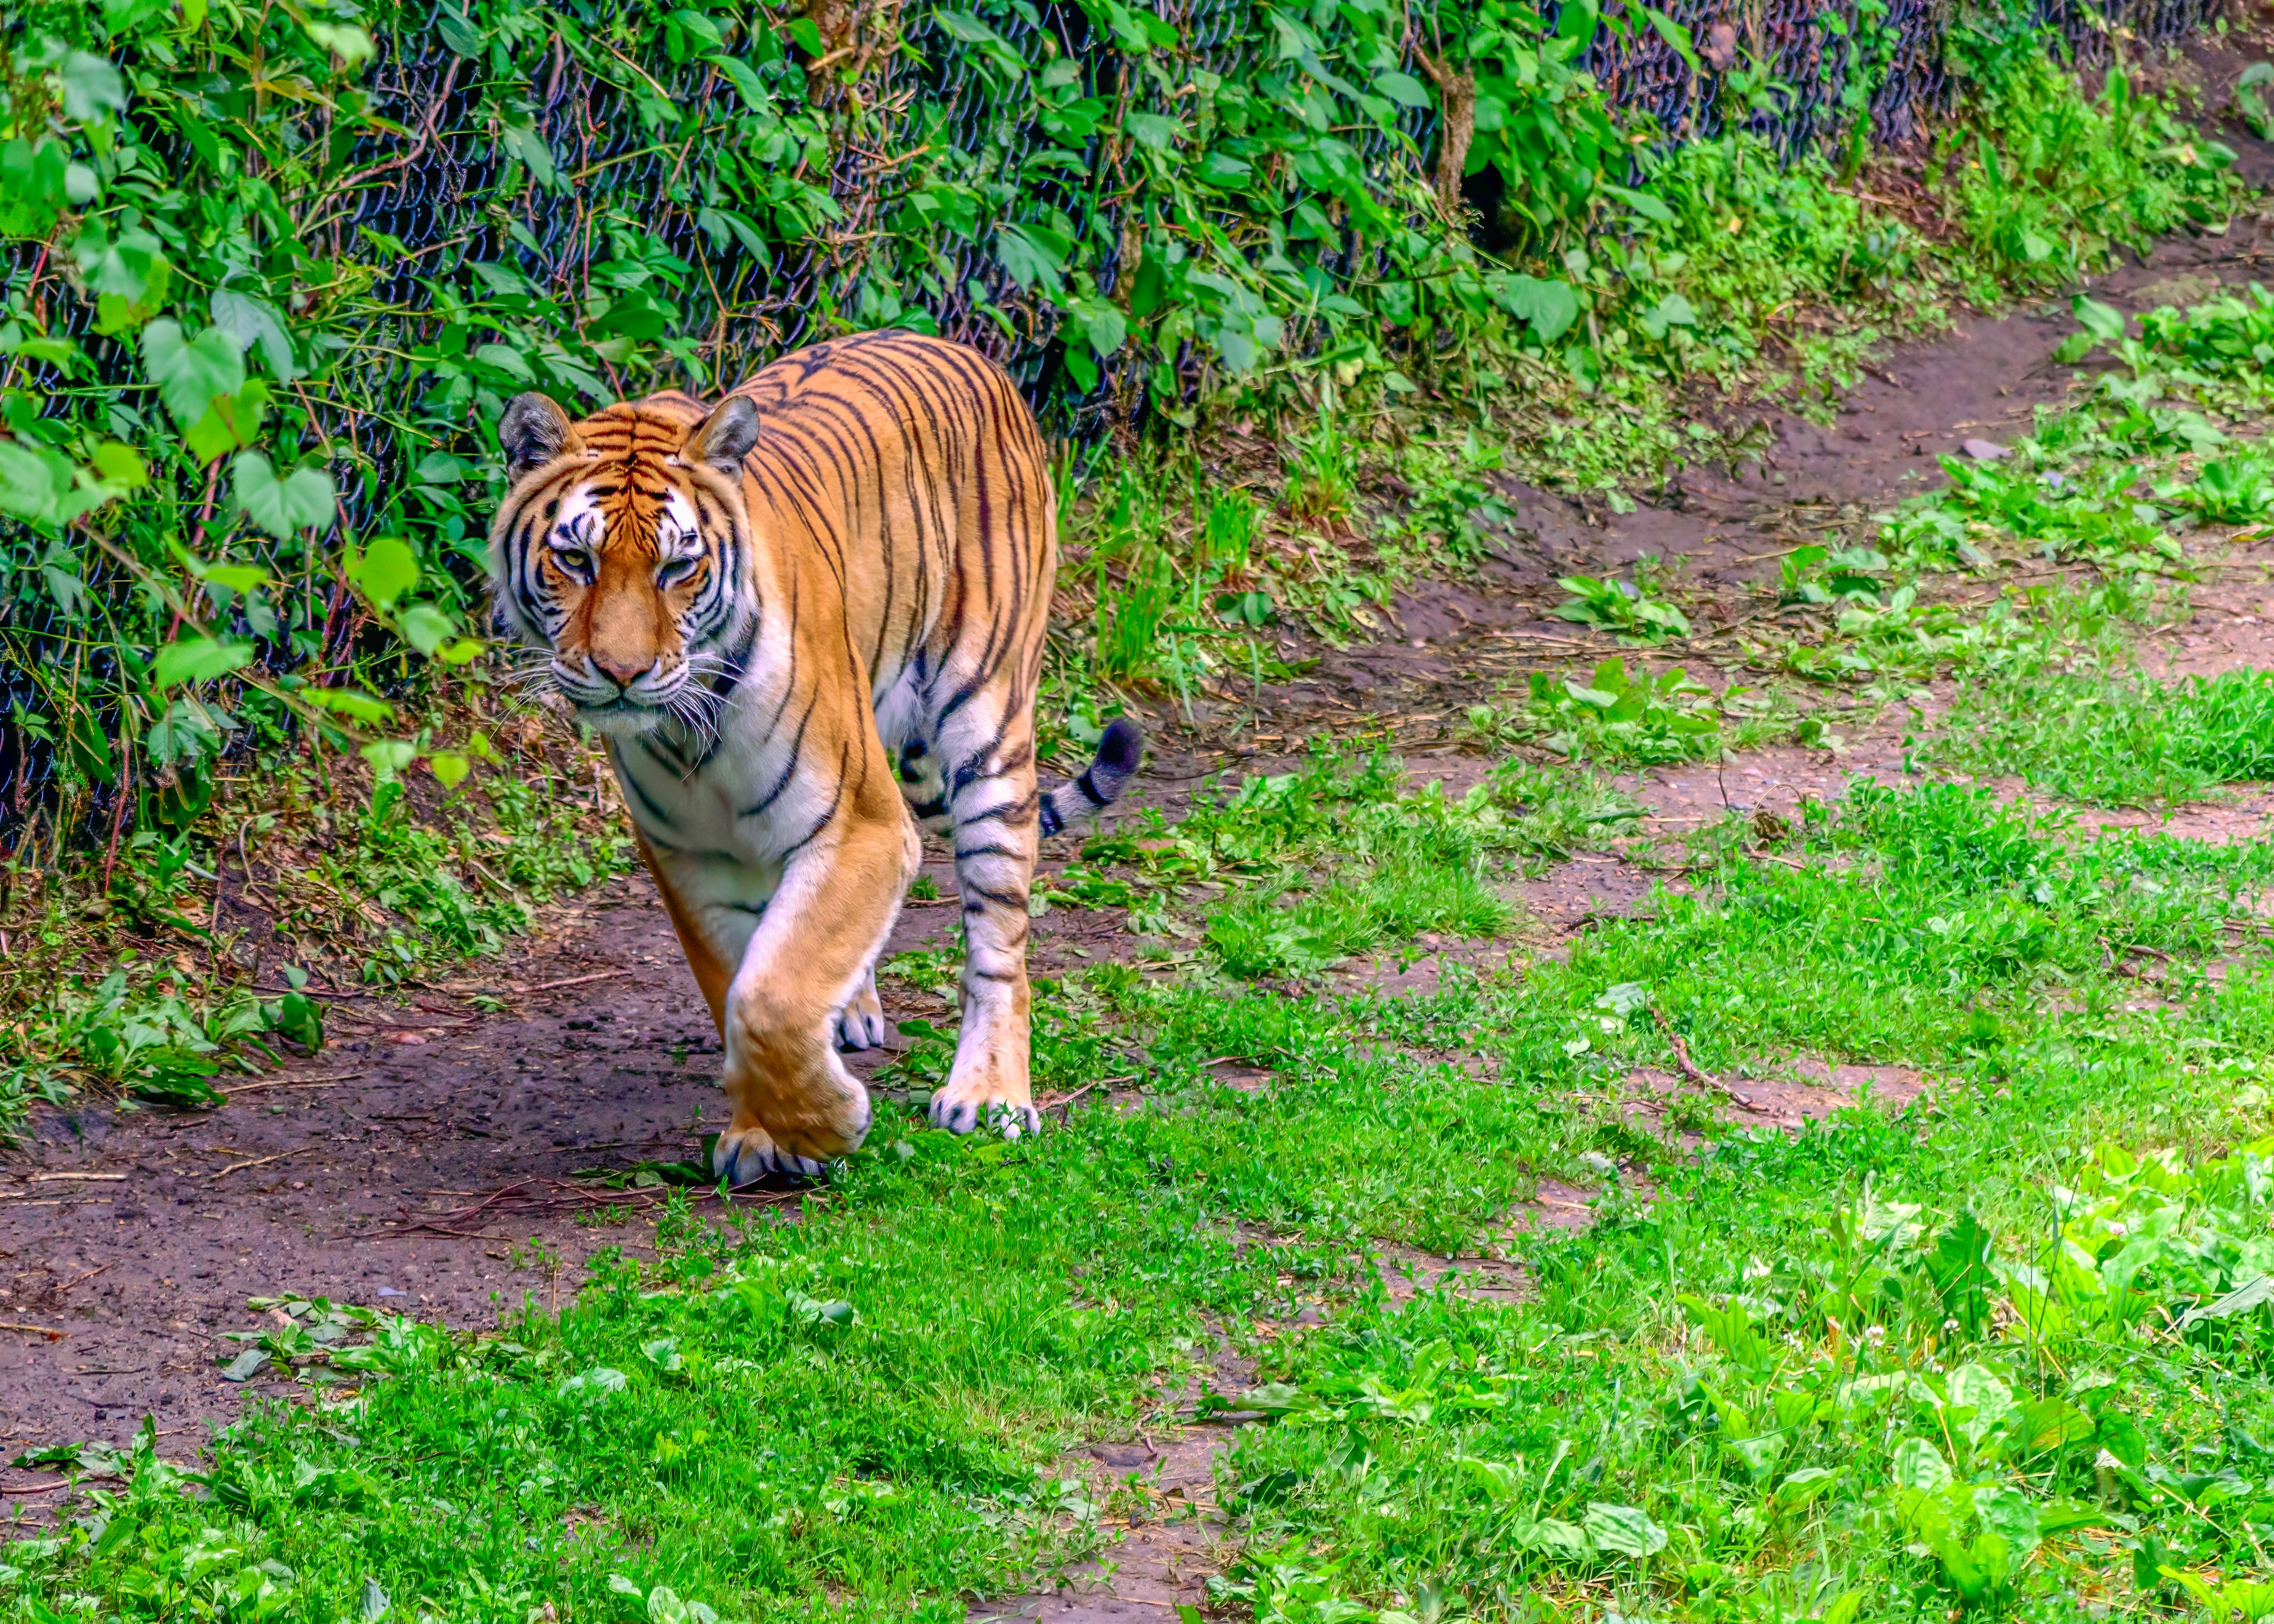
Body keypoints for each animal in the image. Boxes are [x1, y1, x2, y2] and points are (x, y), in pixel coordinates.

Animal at [487, 329, 1143, 1182]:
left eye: (676, 567)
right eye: (576, 562)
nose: (622, 672)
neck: (691, 734)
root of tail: (972, 356)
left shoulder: (863, 824)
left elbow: (770, 996)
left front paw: (823, 1125)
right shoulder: (689, 854)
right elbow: (738, 987)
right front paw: (765, 1130)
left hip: (988, 724)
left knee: (1000, 944)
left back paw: (989, 1095)